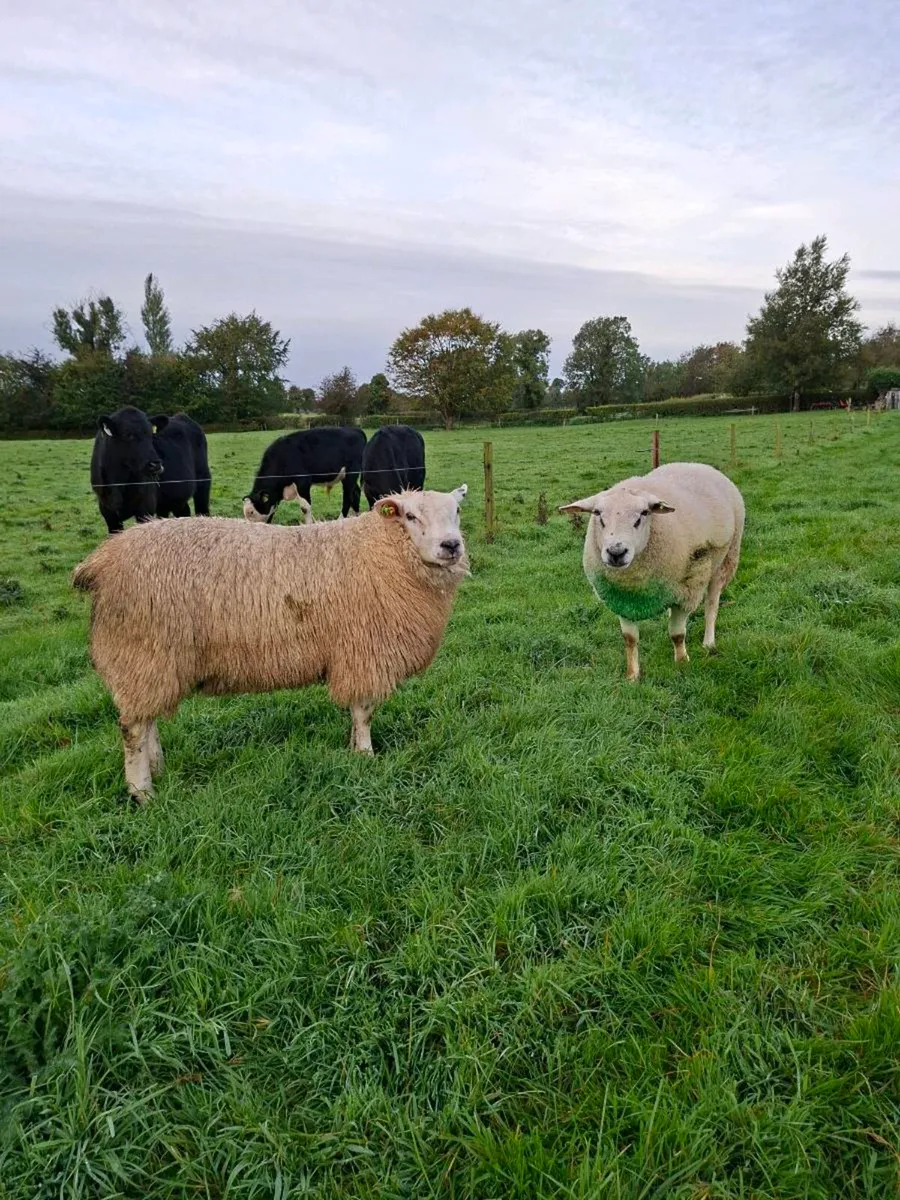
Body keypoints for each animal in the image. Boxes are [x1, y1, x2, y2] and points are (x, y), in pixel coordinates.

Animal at [72, 486, 469, 802]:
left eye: (457, 511)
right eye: (411, 515)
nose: (451, 545)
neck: (384, 550)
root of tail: (102, 558)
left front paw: (352, 749)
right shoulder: (363, 652)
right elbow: (364, 712)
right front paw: (365, 756)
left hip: (151, 664)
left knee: (146, 718)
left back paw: (158, 769)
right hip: (142, 651)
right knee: (133, 729)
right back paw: (142, 792)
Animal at [560, 463, 744, 681]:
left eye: (643, 514)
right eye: (598, 514)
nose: (616, 552)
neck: (634, 583)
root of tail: (697, 464)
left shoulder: (687, 591)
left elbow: (677, 635)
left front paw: (682, 663)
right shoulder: (622, 599)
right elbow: (630, 639)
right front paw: (632, 676)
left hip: (725, 560)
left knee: (712, 606)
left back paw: (709, 643)